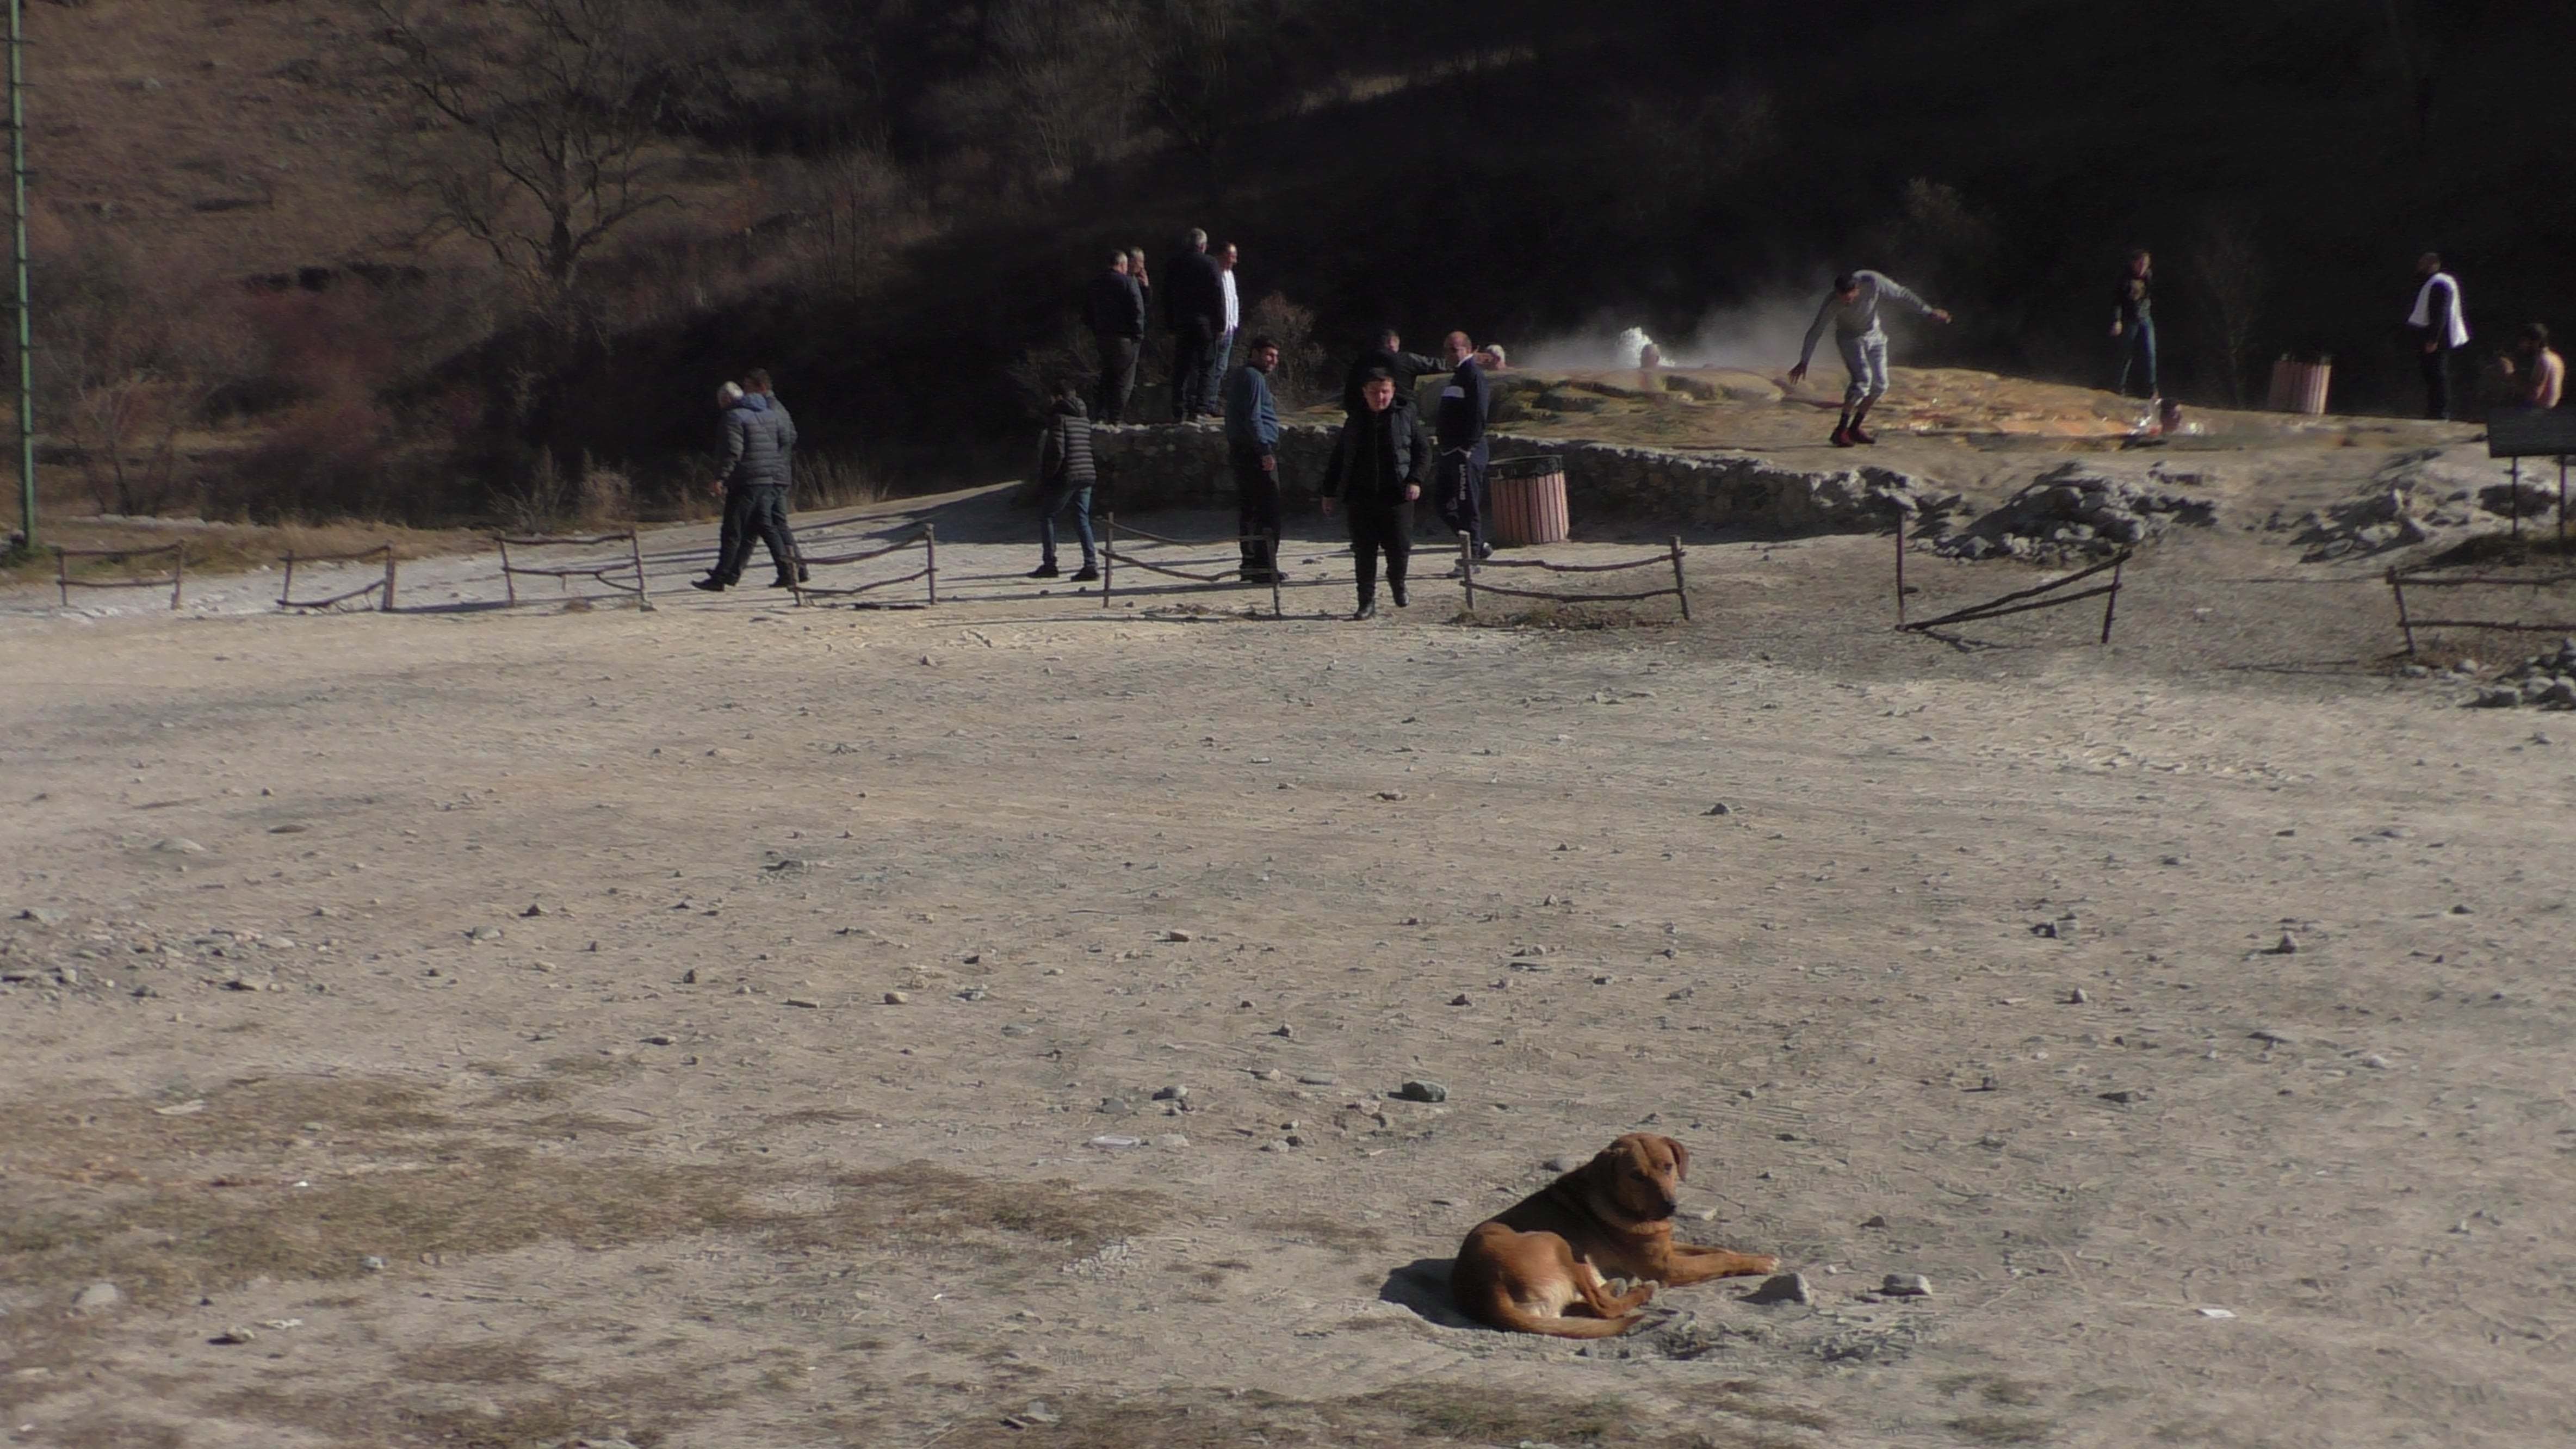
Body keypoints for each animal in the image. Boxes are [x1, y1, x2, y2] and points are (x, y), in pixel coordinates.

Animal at [1449, 1133, 1778, 1338]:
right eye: (1636, 1176)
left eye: (1668, 1167)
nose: (1670, 1207)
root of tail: (1486, 1290)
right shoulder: (1667, 1266)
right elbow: (1719, 1260)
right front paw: (1763, 1263)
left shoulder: (1669, 1248)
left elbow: (1716, 1250)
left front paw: (1754, 1256)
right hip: (1561, 1244)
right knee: (1603, 1308)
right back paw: (1638, 1290)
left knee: (1585, 1306)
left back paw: (1617, 1286)